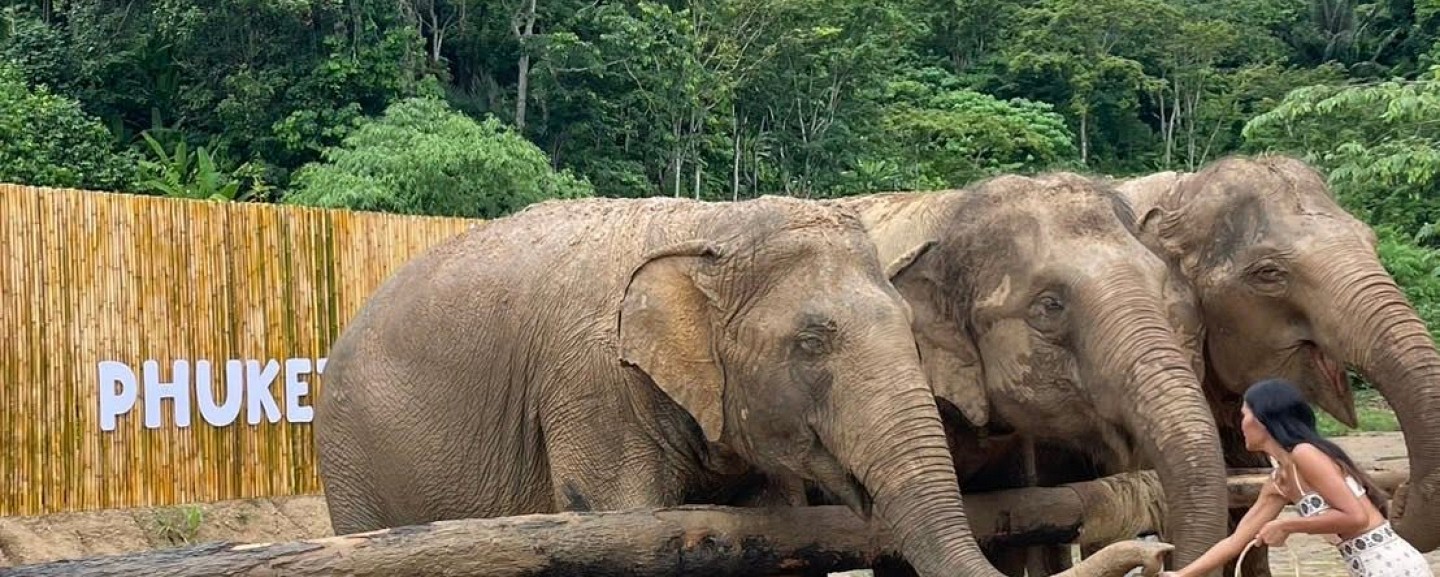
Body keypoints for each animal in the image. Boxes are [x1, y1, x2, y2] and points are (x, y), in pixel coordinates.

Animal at [313, 194, 1169, 577]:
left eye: (908, 322)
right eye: (812, 341)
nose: (1156, 547)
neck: (709, 228)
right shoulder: (590, 391)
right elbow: (623, 528)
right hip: (354, 467)